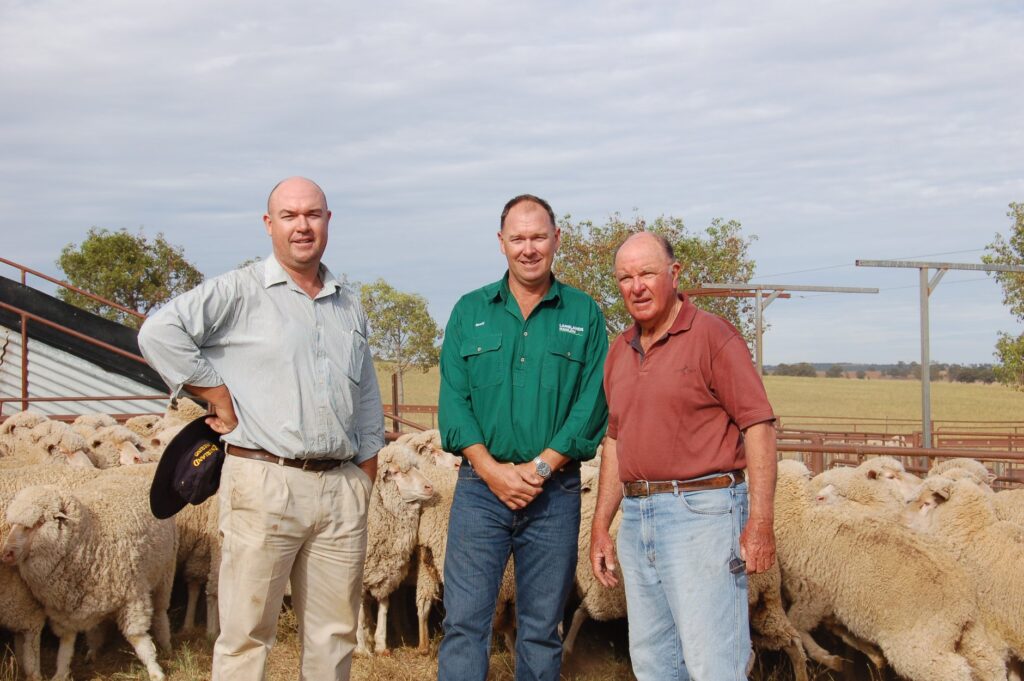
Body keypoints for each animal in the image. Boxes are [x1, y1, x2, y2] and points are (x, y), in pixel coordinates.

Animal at [1, 475, 178, 681]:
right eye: (12, 524)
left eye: (38, 523)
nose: (6, 554)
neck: (87, 537)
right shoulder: (63, 607)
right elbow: (66, 642)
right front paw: (61, 672)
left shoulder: (132, 595)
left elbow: (137, 638)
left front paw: (155, 669)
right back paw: (93, 651)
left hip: (166, 571)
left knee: (160, 610)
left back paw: (166, 645)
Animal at [356, 441, 435, 656]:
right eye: (397, 472)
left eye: (416, 467)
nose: (430, 487)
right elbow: (359, 611)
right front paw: (362, 648)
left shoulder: (386, 571)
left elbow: (384, 606)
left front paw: (380, 645)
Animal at [775, 459, 1004, 681]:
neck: (798, 517)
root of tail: (962, 605)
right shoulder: (830, 606)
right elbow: (840, 631)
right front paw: (872, 656)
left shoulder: (811, 599)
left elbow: (796, 627)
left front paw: (828, 658)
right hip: (972, 634)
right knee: (989, 663)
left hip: (918, 645)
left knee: (952, 671)